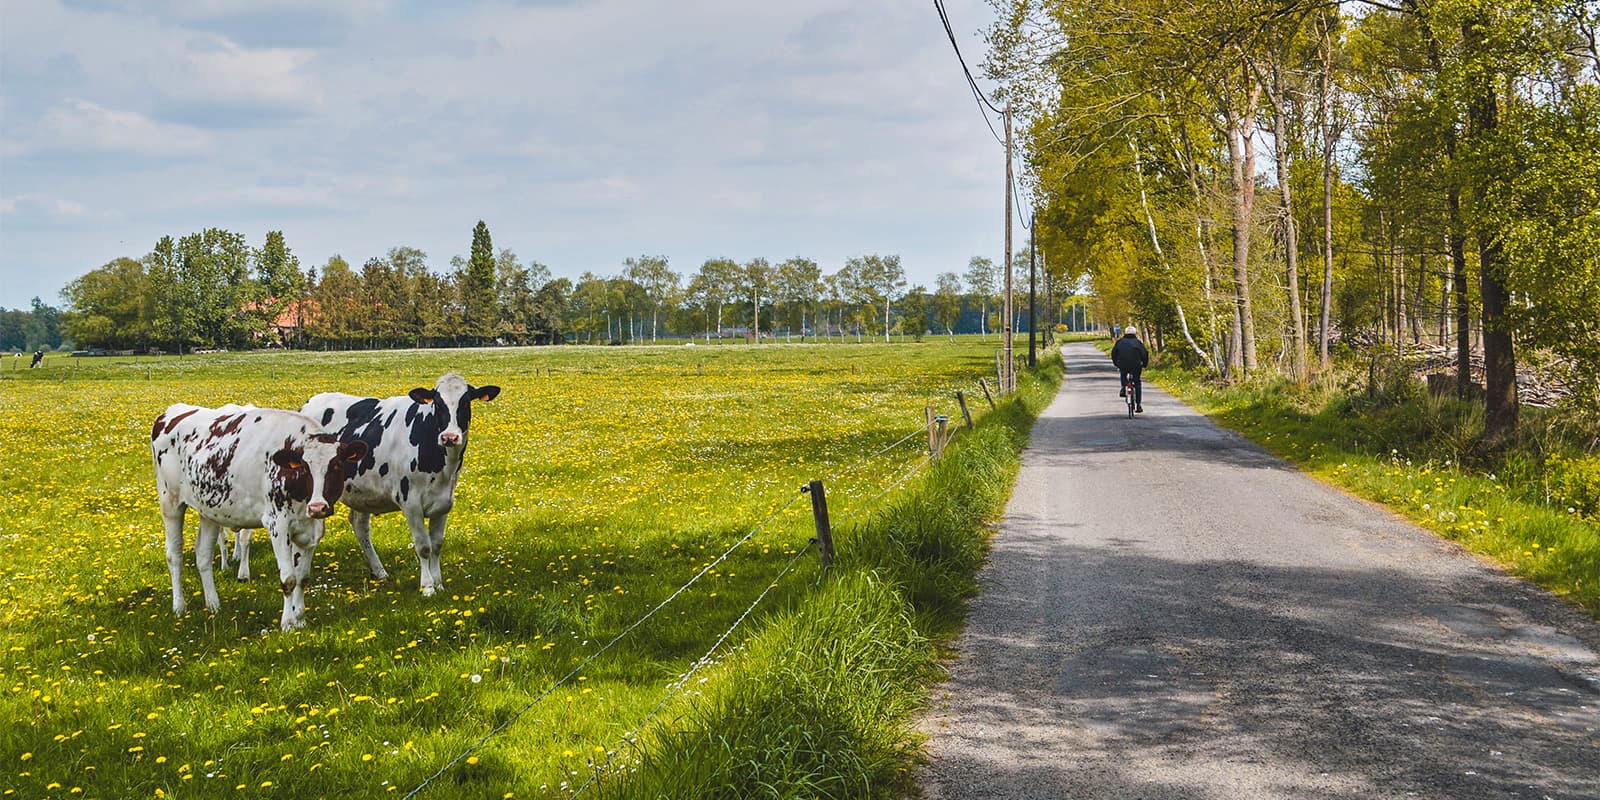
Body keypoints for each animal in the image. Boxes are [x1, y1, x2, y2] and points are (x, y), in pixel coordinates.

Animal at [148, 403, 364, 627]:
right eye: (304, 467)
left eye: (336, 465)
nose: (318, 507)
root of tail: (172, 412)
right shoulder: (278, 524)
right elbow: (289, 578)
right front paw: (288, 624)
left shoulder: (310, 530)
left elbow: (302, 578)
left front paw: (300, 619)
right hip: (170, 503)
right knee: (174, 554)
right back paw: (179, 607)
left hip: (208, 510)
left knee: (203, 555)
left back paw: (214, 605)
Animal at [297, 372, 499, 595]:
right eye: (437, 403)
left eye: (465, 402)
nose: (449, 437)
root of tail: (310, 402)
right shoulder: (410, 502)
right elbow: (424, 546)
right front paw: (427, 586)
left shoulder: (444, 503)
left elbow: (437, 544)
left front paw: (439, 583)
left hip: (361, 491)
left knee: (360, 526)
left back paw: (379, 572)